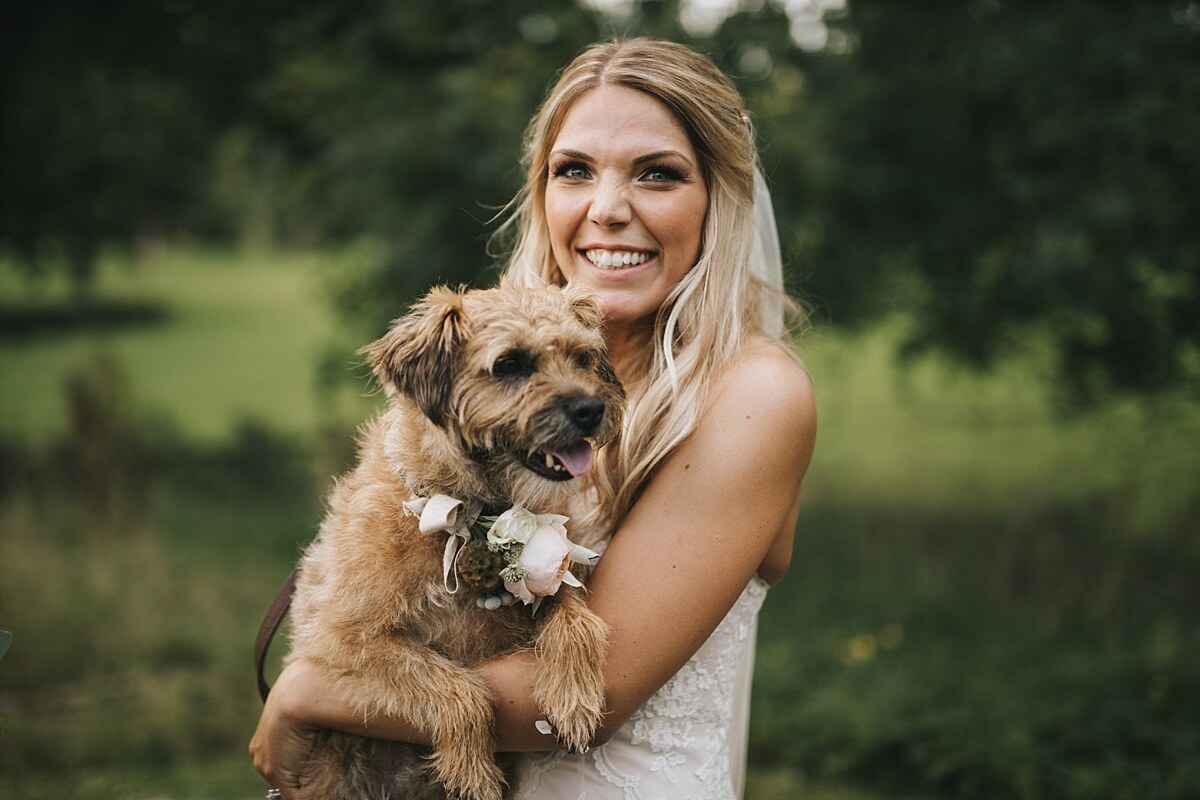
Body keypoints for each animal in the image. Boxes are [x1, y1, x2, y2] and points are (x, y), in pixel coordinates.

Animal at [285, 284, 624, 800]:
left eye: (582, 358)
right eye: (510, 364)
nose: (591, 409)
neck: (465, 514)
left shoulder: (555, 575)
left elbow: (575, 616)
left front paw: (575, 698)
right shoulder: (341, 640)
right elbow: (456, 688)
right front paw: (473, 771)